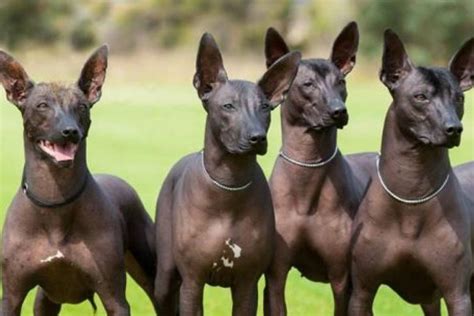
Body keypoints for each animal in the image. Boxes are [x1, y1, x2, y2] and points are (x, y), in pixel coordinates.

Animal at [0, 45, 158, 314]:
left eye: (82, 106)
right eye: (42, 105)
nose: (70, 131)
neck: (55, 204)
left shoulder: (114, 298)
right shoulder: (11, 296)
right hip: (46, 299)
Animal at [348, 30, 474, 316]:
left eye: (459, 98)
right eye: (421, 97)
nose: (455, 128)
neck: (412, 191)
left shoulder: (457, 294)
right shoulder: (361, 293)